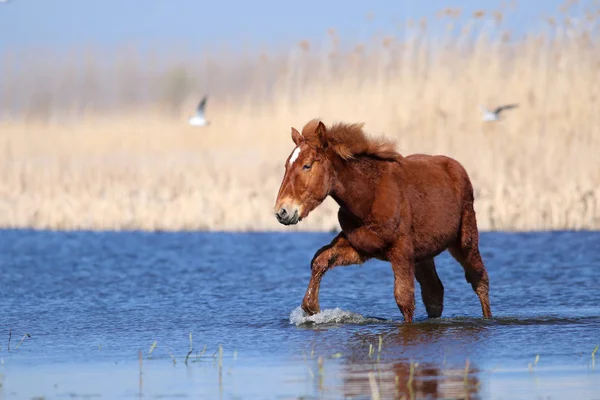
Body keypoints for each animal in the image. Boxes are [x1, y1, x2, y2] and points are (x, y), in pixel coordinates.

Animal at [274, 119, 490, 322]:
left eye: (307, 165)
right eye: (286, 165)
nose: (282, 211)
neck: (368, 198)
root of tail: (458, 168)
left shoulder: (401, 251)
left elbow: (404, 299)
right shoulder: (362, 247)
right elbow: (320, 259)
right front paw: (311, 307)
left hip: (465, 241)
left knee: (479, 280)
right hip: (424, 253)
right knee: (434, 291)